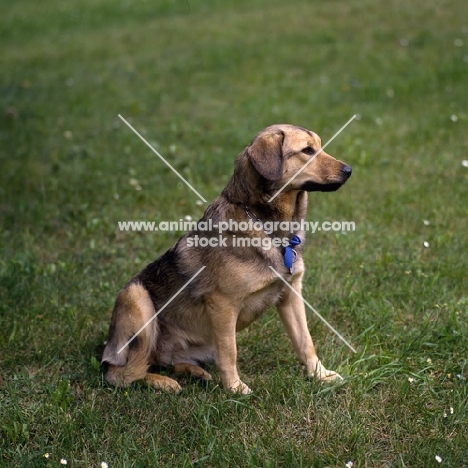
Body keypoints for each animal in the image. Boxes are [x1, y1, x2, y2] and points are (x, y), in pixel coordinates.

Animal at [102, 122, 352, 394]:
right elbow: (229, 351)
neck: (270, 227)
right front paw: (235, 389)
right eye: (307, 150)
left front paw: (319, 375)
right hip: (135, 297)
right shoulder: (222, 304)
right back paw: (164, 382)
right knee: (123, 373)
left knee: (165, 362)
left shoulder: (291, 294)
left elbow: (305, 341)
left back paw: (195, 372)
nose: (349, 170)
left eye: (320, 146)